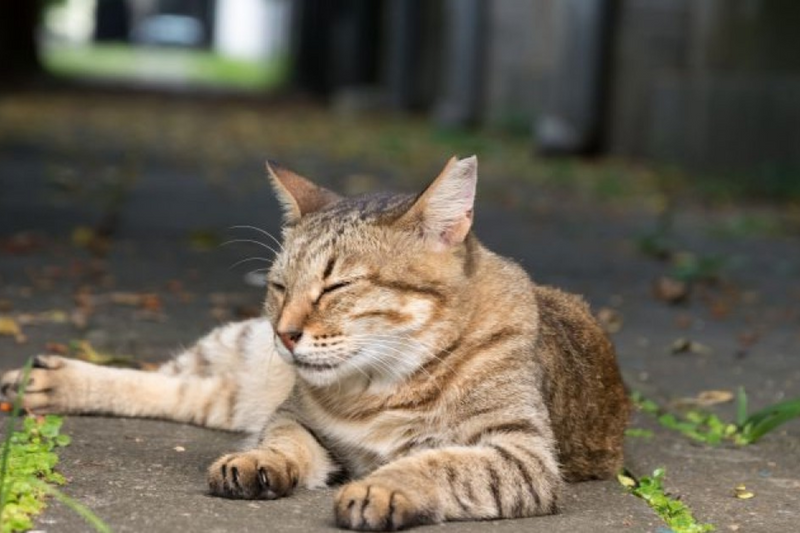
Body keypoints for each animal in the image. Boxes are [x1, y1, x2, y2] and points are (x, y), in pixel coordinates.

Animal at [1, 156, 632, 528]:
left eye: (336, 285)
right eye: (279, 285)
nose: (284, 333)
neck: (378, 384)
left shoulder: (521, 455)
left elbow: (440, 462)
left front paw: (385, 488)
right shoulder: (294, 416)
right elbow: (283, 440)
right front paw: (261, 460)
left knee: (187, 392)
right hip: (236, 350)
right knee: (165, 378)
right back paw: (46, 380)